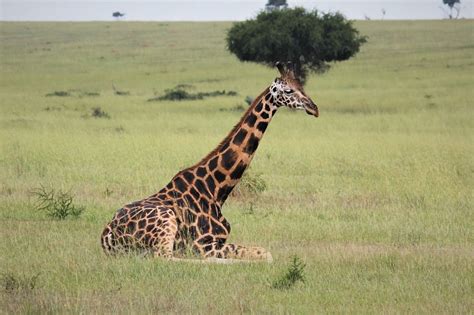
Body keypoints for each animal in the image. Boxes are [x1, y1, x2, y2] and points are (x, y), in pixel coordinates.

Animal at [102, 63, 320, 262]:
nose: (314, 108)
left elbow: (263, 252)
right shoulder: (204, 243)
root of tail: (108, 235)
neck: (216, 189)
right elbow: (266, 254)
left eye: (301, 86)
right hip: (166, 222)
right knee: (166, 257)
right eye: (288, 90)